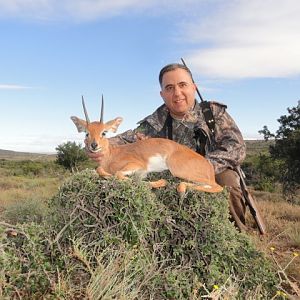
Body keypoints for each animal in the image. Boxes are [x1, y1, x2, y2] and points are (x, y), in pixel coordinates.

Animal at [71, 96, 223, 195]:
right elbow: (101, 170)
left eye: (104, 132)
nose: (94, 145)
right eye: (87, 133)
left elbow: (120, 175)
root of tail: (208, 167)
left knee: (218, 187)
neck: (111, 156)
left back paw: (180, 188)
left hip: (179, 170)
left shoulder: (138, 166)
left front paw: (160, 182)